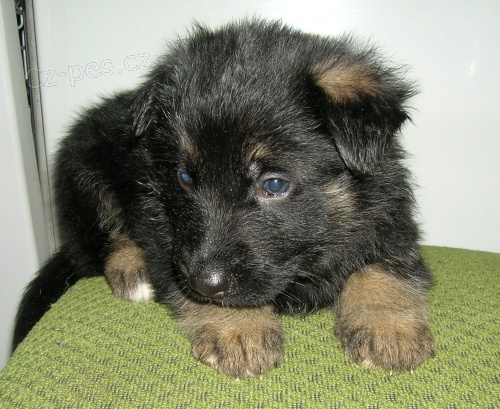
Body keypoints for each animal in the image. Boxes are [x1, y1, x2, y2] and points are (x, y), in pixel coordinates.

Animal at [14, 20, 434, 377]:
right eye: (184, 178)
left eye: (274, 185)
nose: (204, 284)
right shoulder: (162, 227)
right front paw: (238, 329)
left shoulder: (388, 209)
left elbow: (386, 263)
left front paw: (388, 326)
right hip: (83, 167)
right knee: (104, 233)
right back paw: (130, 268)